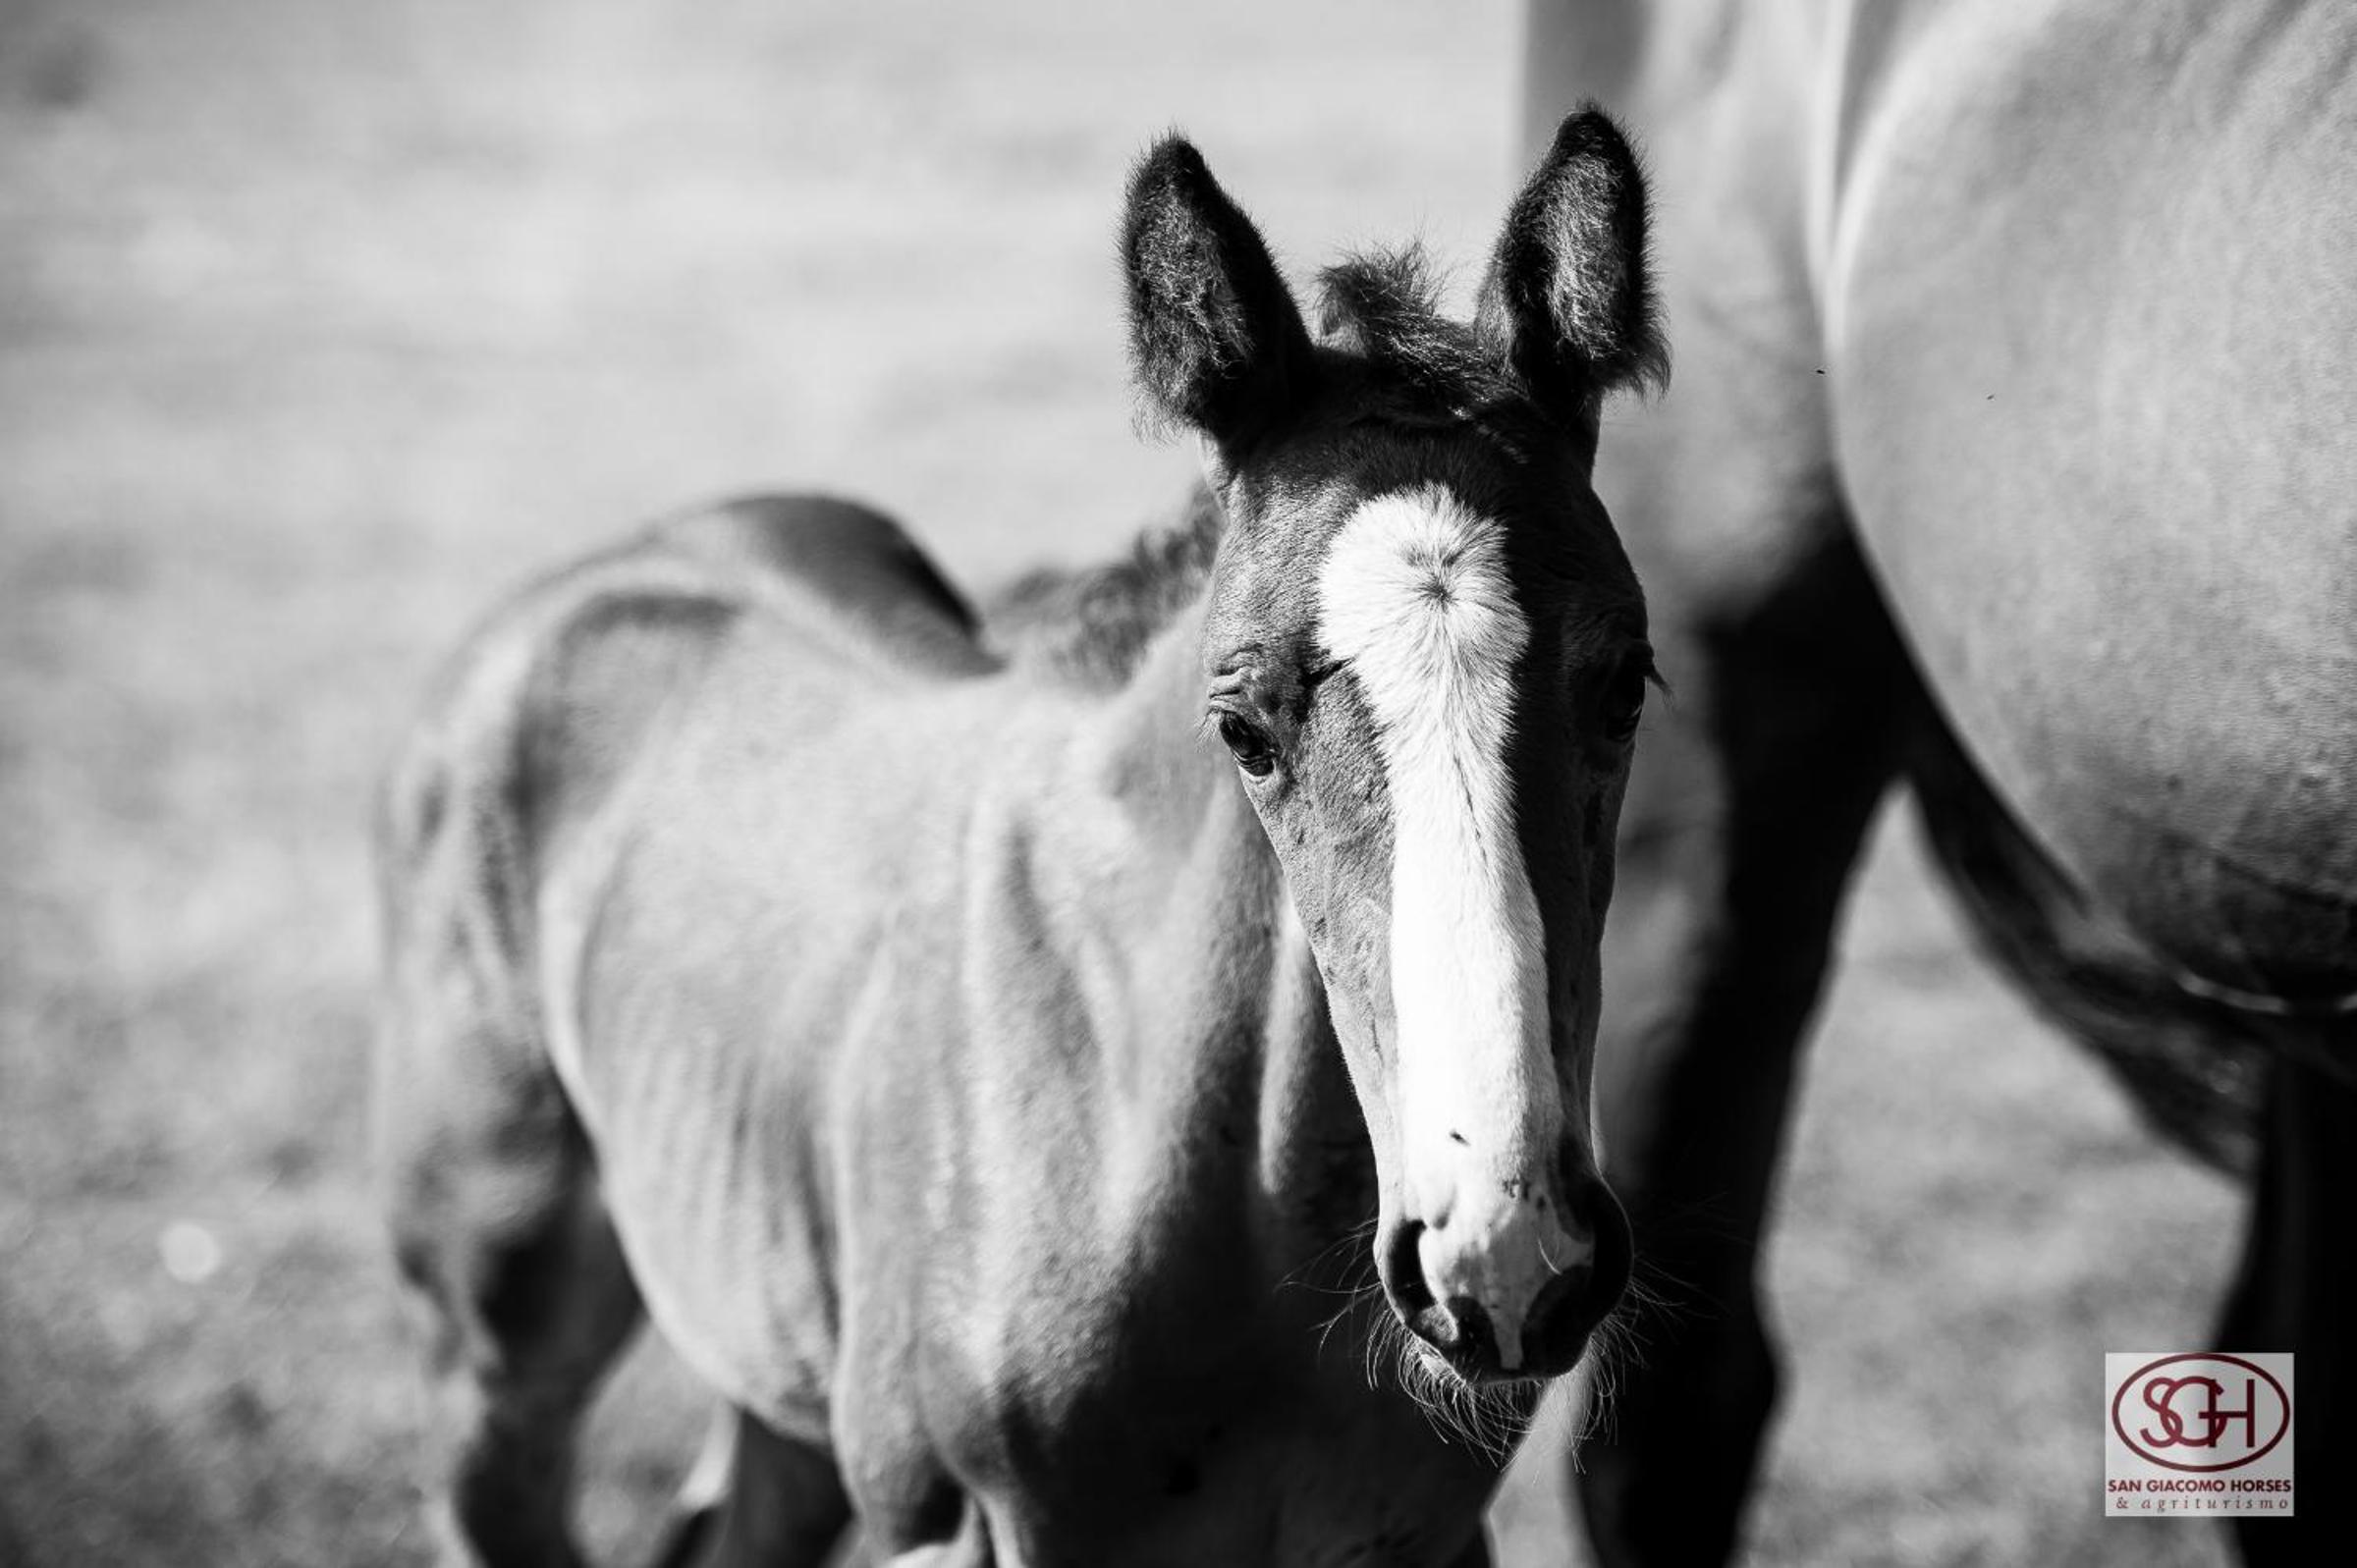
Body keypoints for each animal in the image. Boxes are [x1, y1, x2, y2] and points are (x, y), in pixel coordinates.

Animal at [375, 110, 1667, 1567]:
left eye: (1627, 683)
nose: (1504, 1253)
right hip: (494, 1353)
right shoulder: (957, 1521)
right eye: (1244, 729)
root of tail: (610, 566)